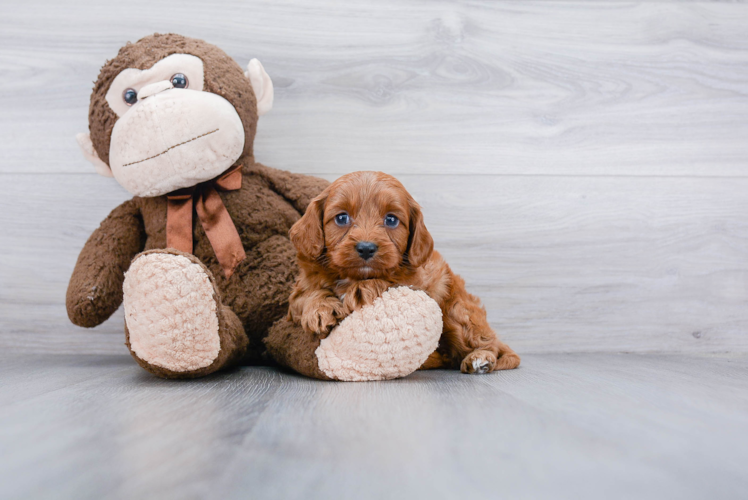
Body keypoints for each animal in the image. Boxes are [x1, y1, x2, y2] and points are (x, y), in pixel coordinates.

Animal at [286, 170, 520, 374]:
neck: (353, 276)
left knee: (489, 344)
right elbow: (306, 295)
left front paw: (362, 290)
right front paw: (320, 309)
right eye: (341, 218)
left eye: (391, 220)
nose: (366, 248)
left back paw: (480, 358)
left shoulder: (419, 284)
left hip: (457, 313)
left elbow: (390, 280)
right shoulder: (299, 290)